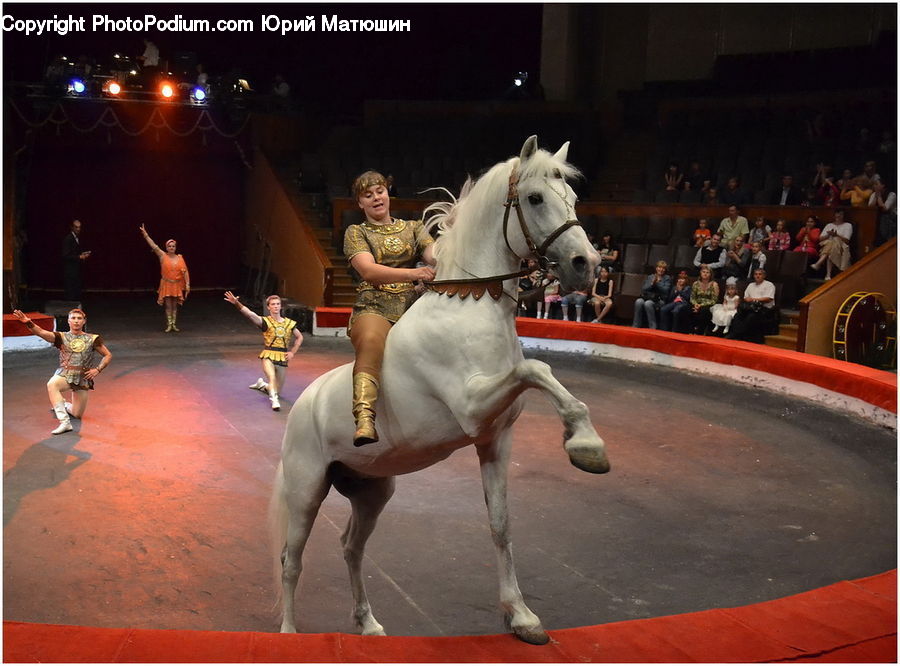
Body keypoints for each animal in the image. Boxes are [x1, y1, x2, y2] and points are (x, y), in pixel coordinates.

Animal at [270, 135, 609, 645]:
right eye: (534, 198)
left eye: (571, 198)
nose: (585, 265)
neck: (469, 306)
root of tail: (300, 409)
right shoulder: (472, 407)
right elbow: (537, 367)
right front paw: (586, 445)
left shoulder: (495, 439)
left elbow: (500, 525)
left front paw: (521, 617)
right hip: (306, 489)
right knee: (292, 560)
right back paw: (290, 633)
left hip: (372, 492)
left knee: (351, 547)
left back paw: (368, 624)